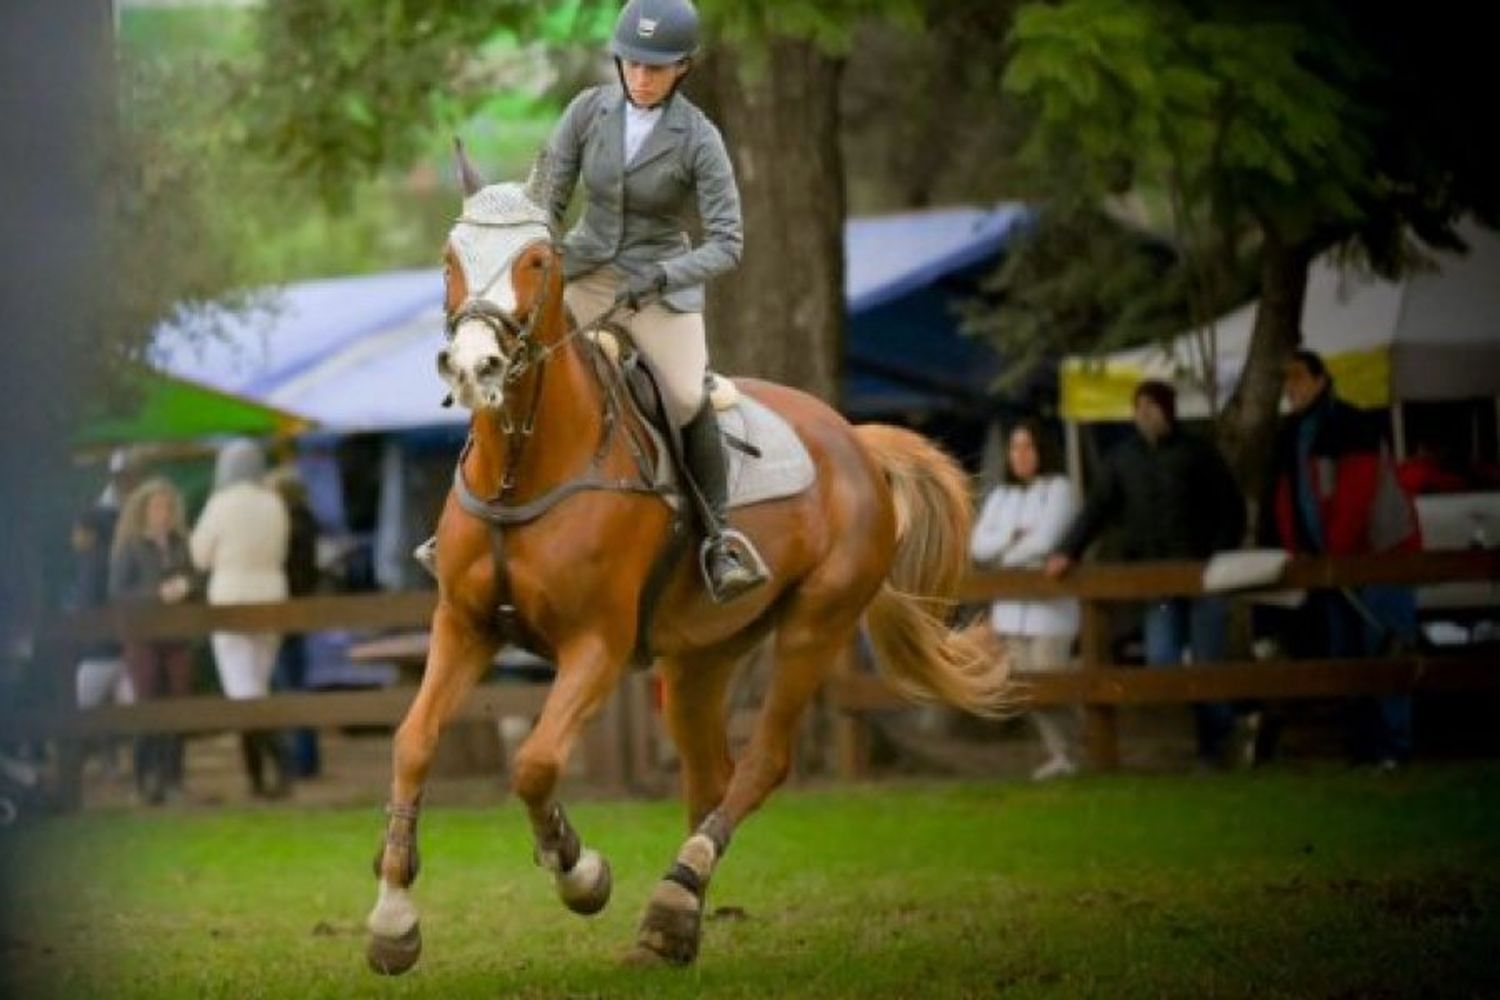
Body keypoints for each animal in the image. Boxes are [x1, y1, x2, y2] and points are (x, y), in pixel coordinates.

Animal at [363, 167, 1008, 971]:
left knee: (763, 764)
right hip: (703, 657)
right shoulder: (464, 625)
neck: (525, 467)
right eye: (451, 257)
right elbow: (412, 742)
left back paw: (676, 891)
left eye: (537, 260)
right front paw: (392, 915)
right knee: (711, 779)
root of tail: (855, 439)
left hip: (815, 626)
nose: (475, 367)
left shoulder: (598, 645)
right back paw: (675, 920)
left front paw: (579, 870)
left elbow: (536, 762)